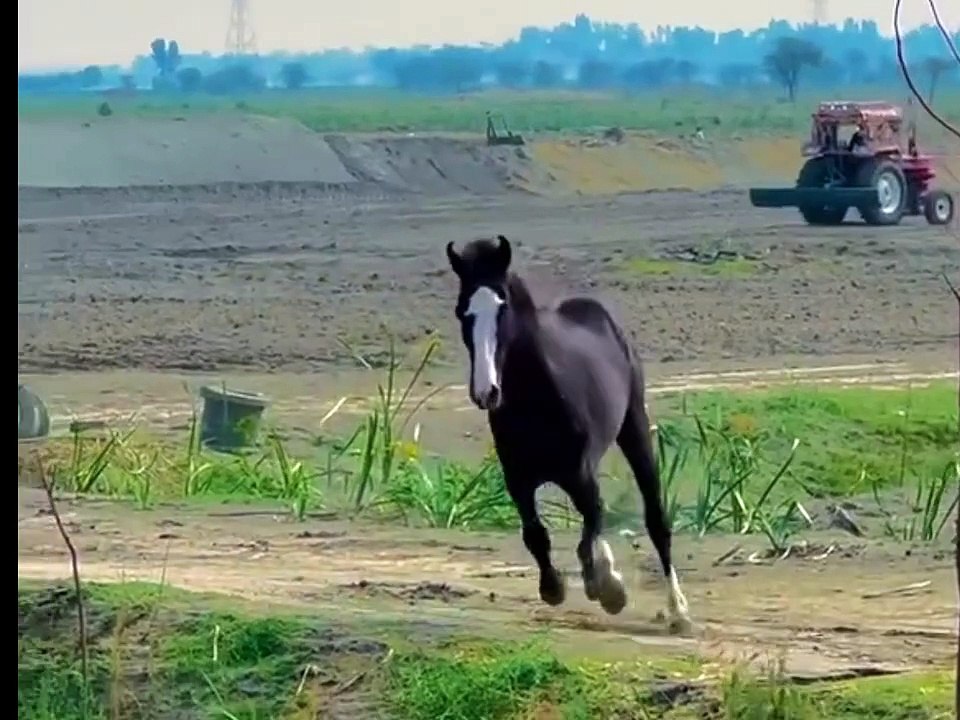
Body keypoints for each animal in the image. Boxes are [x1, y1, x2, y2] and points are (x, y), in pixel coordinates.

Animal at [445, 234, 691, 630]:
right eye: (462, 311)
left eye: (503, 306)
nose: (486, 392)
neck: (538, 402)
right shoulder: (518, 479)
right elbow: (536, 534)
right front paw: (554, 588)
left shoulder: (578, 473)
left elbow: (588, 529)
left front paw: (607, 590)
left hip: (634, 427)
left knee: (655, 520)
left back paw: (678, 610)